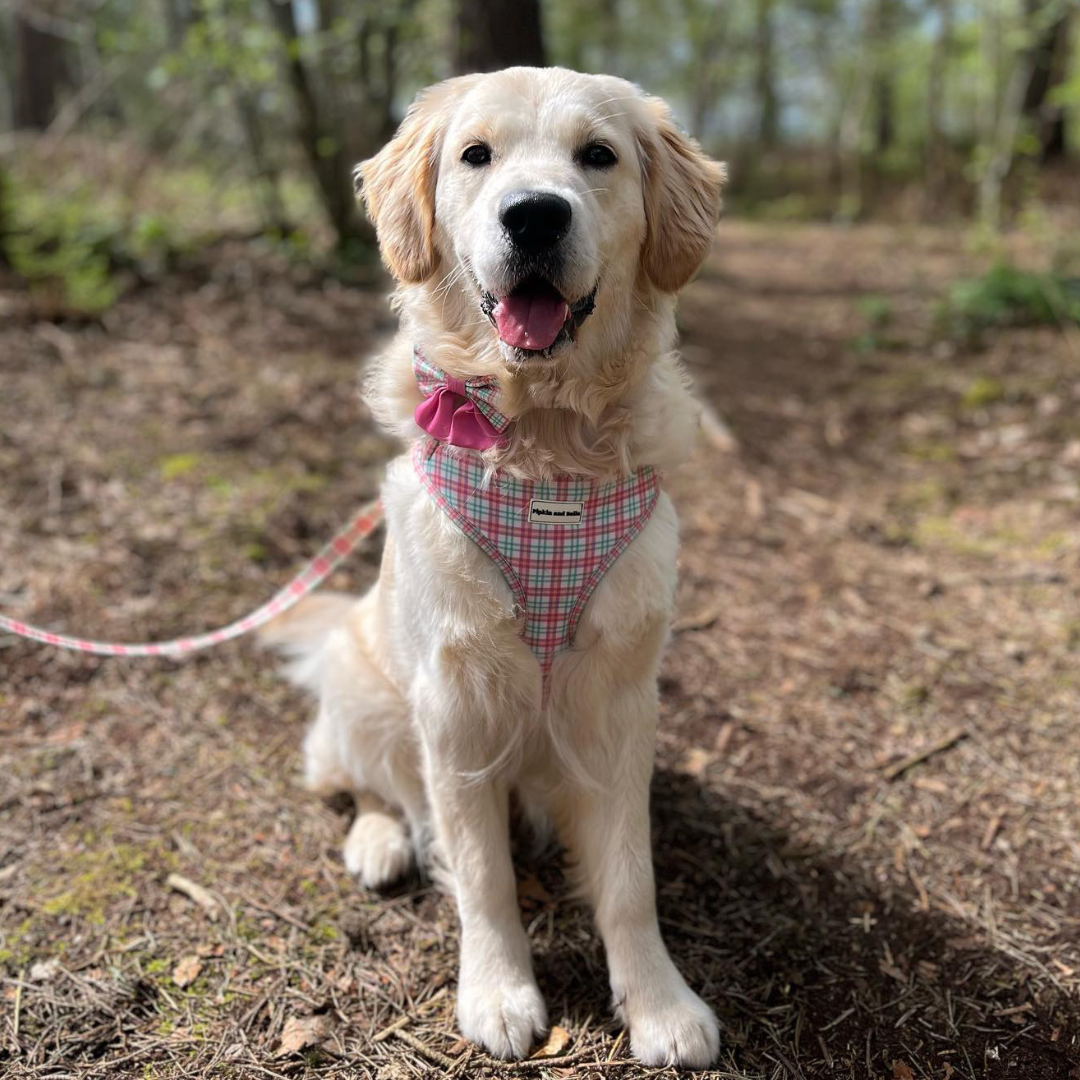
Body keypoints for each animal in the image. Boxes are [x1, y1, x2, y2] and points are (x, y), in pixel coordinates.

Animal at [265, 69, 725, 1071]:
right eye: (476, 155)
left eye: (599, 155)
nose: (536, 215)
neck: (545, 445)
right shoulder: (455, 706)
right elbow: (482, 874)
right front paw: (499, 991)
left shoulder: (619, 698)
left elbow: (629, 877)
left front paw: (660, 1003)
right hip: (362, 687)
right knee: (359, 783)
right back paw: (378, 841)